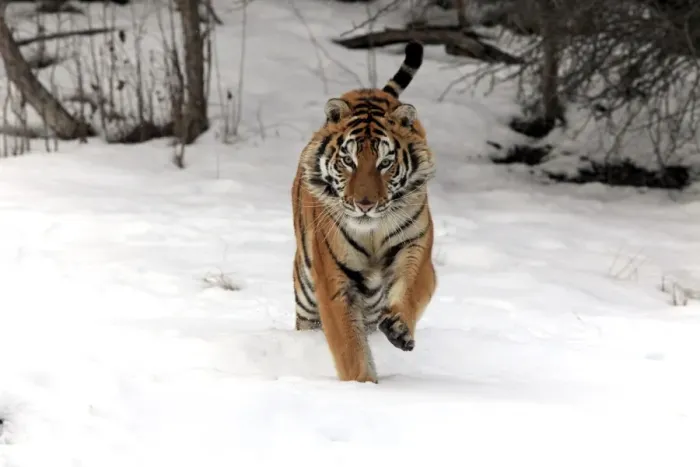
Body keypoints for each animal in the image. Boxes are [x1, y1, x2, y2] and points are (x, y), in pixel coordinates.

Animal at [290, 41, 436, 384]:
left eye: (385, 162)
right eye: (348, 160)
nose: (365, 205)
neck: (373, 231)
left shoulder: (417, 248)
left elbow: (413, 288)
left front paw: (399, 329)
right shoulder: (334, 280)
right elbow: (350, 348)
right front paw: (363, 387)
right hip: (305, 292)